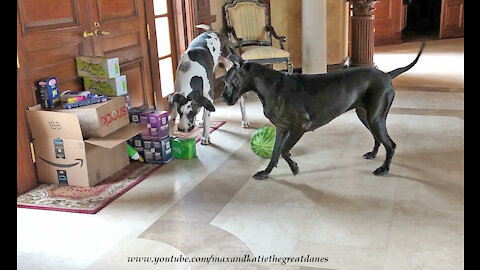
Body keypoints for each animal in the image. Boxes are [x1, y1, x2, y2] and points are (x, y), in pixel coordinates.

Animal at [221, 42, 424, 179]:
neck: (271, 86)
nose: (222, 97)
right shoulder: (281, 128)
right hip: (366, 116)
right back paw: (373, 154)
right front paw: (266, 172)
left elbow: (285, 150)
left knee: (391, 144)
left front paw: (294, 167)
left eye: (228, 82)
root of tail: (387, 75)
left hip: (375, 118)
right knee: (378, 138)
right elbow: (275, 152)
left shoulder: (300, 126)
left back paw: (384, 168)